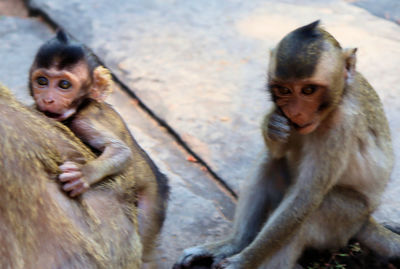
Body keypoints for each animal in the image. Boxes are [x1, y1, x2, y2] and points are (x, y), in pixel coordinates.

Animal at [29, 30, 169, 264]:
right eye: (42, 81)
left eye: (64, 85)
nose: (47, 99)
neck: (81, 105)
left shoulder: (85, 119)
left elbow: (121, 151)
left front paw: (83, 175)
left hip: (152, 204)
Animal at [173, 21, 400, 268]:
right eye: (284, 90)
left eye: (308, 90)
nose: (294, 112)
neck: (340, 98)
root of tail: (366, 220)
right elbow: (277, 150)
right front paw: (272, 126)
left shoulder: (341, 126)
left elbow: (305, 197)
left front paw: (242, 261)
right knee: (269, 161)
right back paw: (234, 244)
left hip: (345, 222)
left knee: (317, 210)